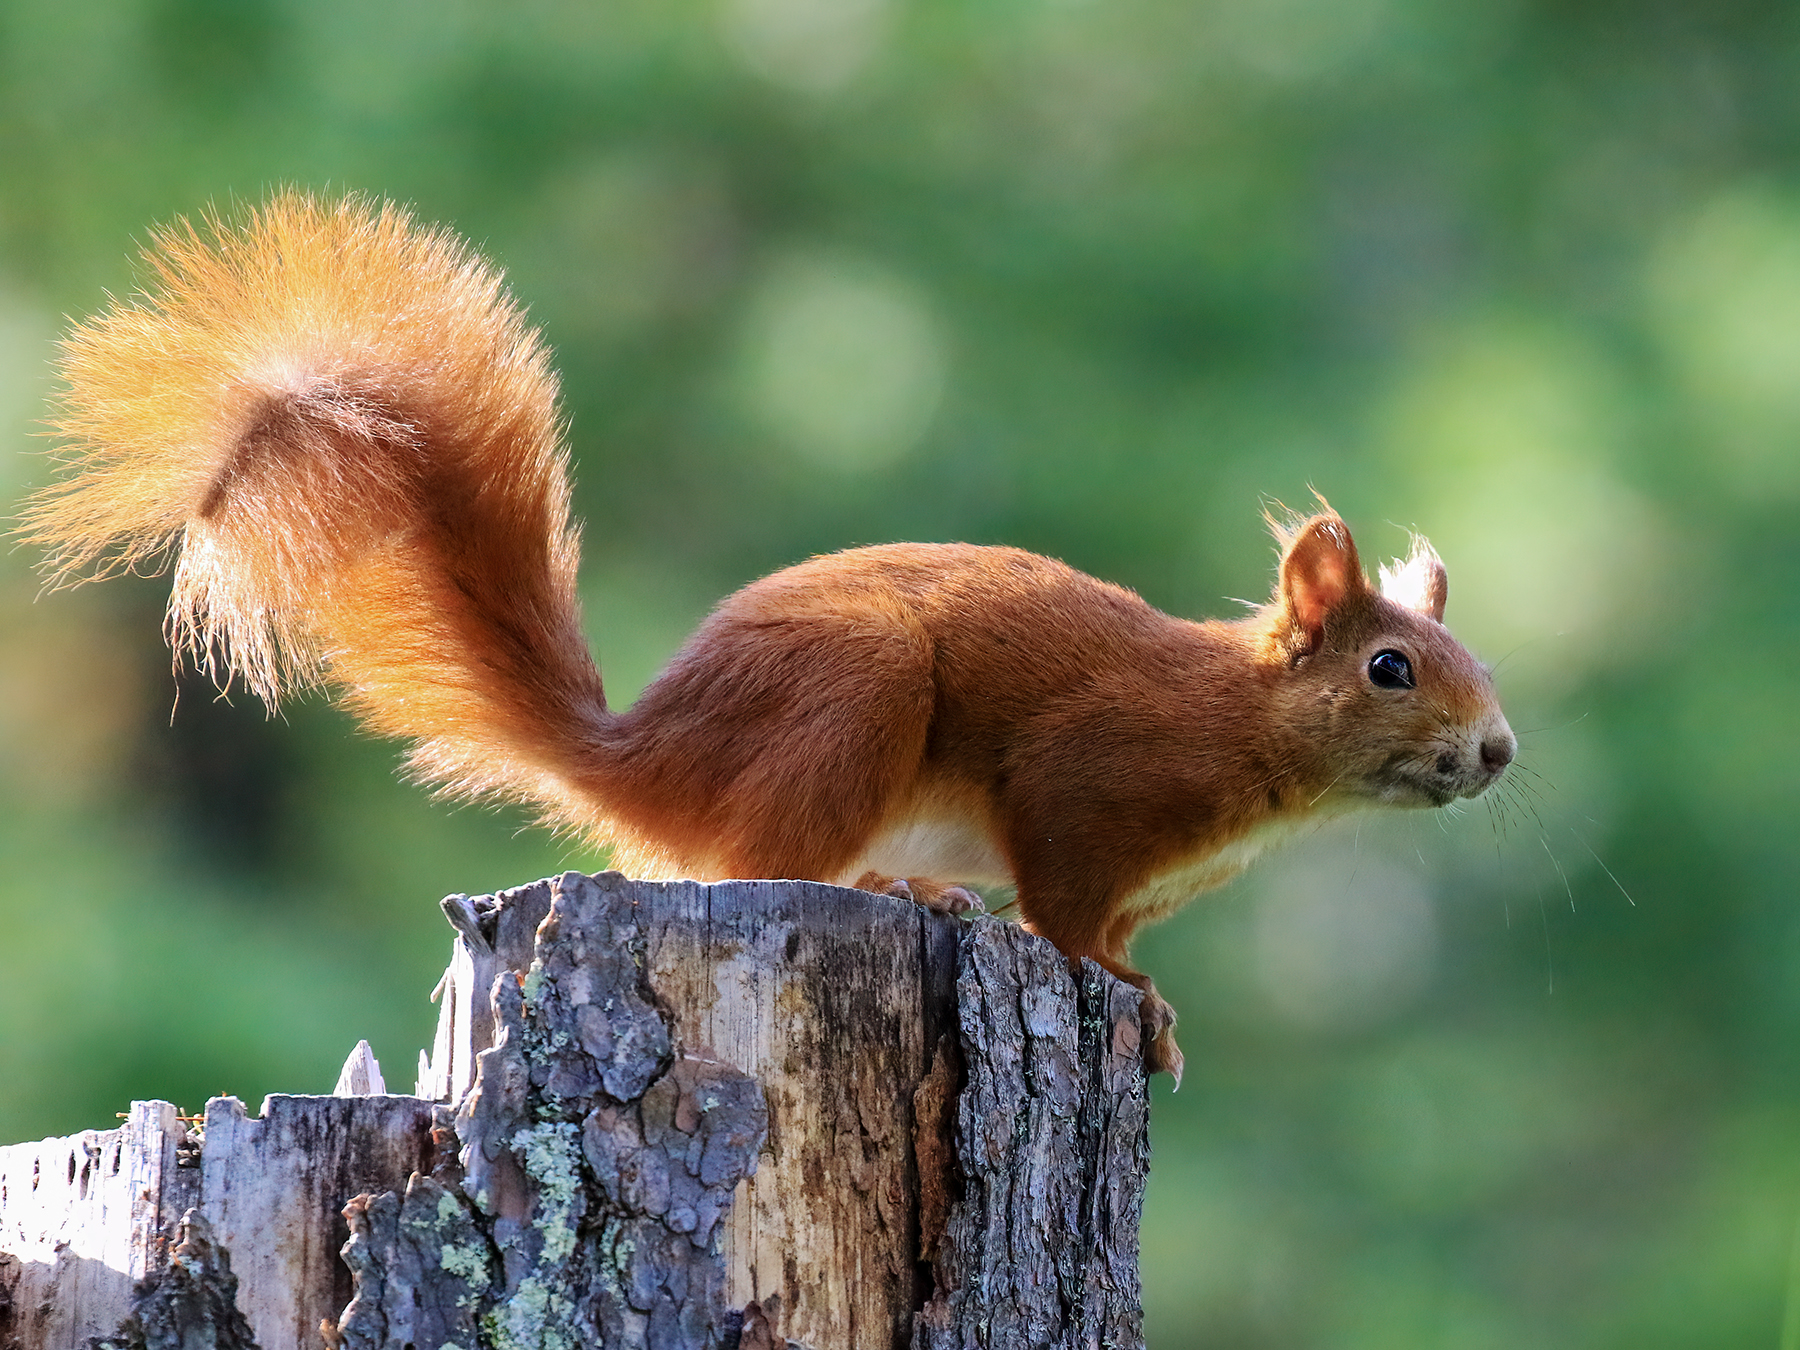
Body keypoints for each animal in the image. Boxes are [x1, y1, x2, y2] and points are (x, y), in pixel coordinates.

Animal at [23, 193, 1515, 1083]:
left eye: (1481, 667)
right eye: (1390, 668)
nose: (1498, 751)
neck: (1250, 739)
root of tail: (645, 758)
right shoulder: (1088, 783)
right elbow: (1065, 912)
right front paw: (1127, 991)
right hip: (856, 699)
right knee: (763, 858)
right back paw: (895, 889)